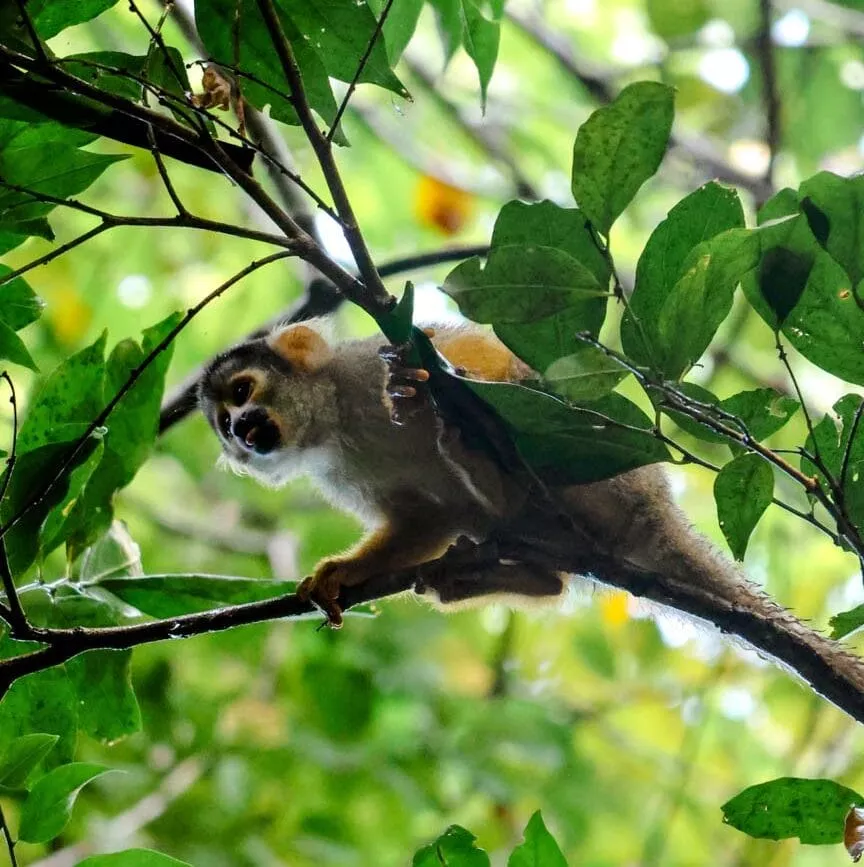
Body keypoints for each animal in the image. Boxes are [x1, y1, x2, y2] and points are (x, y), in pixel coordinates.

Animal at [197, 318, 864, 720]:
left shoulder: (365, 364)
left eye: (243, 391)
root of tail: (655, 510)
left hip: (610, 474)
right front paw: (340, 576)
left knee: (538, 403)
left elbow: (470, 358)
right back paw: (511, 567)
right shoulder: (341, 469)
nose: (241, 430)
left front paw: (428, 382)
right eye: (223, 421)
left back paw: (486, 463)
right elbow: (424, 519)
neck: (338, 413)